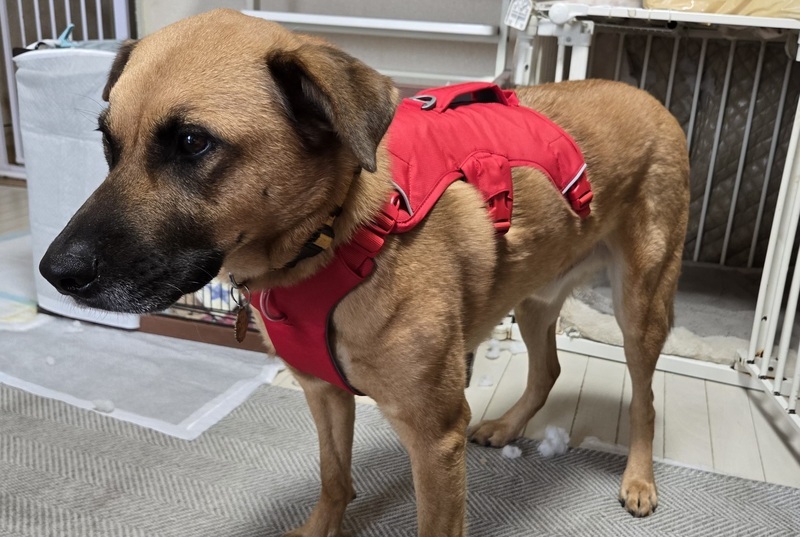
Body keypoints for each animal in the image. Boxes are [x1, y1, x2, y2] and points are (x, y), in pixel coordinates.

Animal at [39, 9, 689, 536]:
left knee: (647, 400)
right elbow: (334, 479)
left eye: (193, 143)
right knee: (549, 368)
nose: (54, 272)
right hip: (535, 296)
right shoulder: (324, 394)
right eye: (107, 143)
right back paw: (507, 427)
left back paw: (639, 480)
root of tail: (647, 97)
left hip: (641, 307)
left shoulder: (435, 438)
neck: (327, 241)